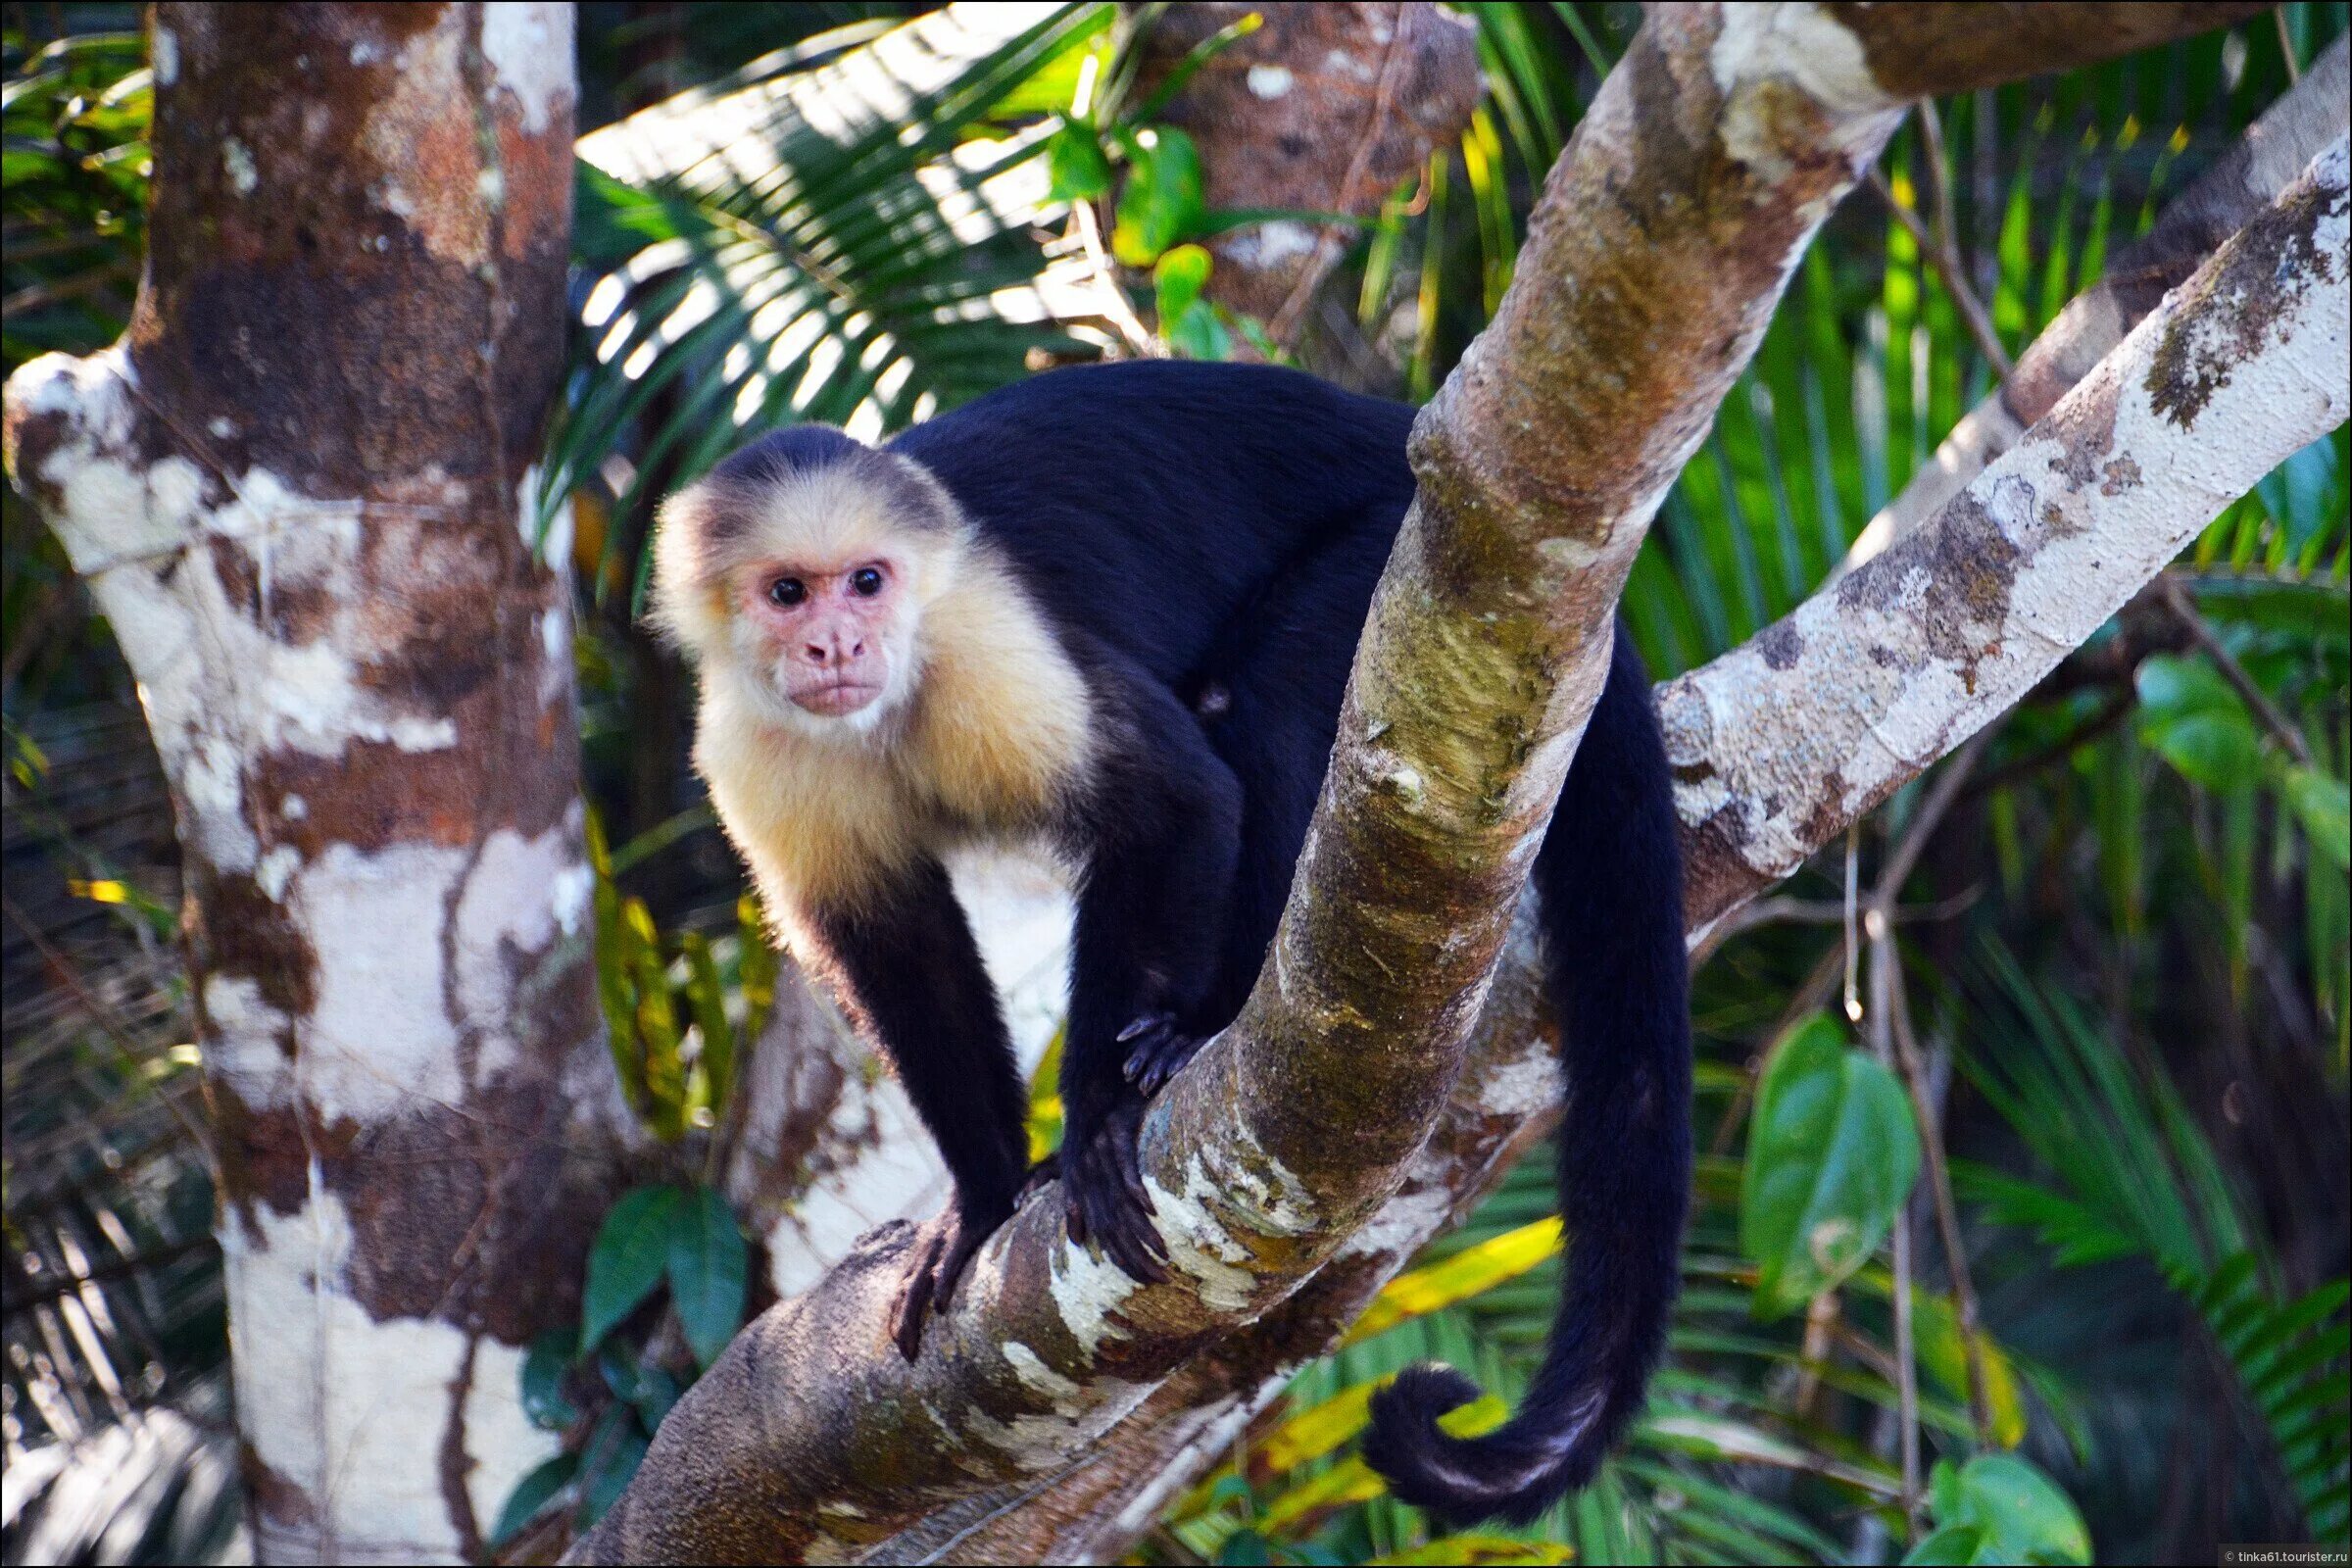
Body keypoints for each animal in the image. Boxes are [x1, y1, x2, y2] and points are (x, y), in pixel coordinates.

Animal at [649, 362, 1693, 1523]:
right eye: (790, 593)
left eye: (867, 582)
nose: (837, 645)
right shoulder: (747, 747)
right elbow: (899, 952)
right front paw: (983, 1196)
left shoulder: (986, 648)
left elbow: (1177, 804)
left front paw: (1102, 1117)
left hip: (1426, 573)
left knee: (1264, 713)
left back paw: (1207, 1028)